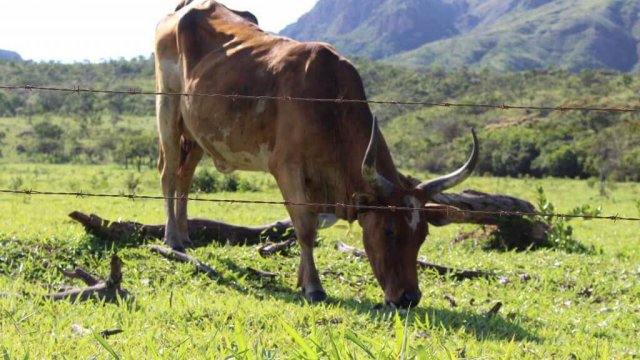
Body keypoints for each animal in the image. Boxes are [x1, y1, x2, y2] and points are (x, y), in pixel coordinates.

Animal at [154, 0, 476, 310]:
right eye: (388, 231)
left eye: (422, 235)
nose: (409, 297)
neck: (329, 103)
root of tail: (183, 10)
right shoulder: (287, 168)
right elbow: (306, 228)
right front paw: (313, 286)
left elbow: (306, 228)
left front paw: (302, 278)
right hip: (167, 109)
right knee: (169, 174)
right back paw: (173, 239)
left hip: (196, 133)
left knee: (185, 177)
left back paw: (185, 234)